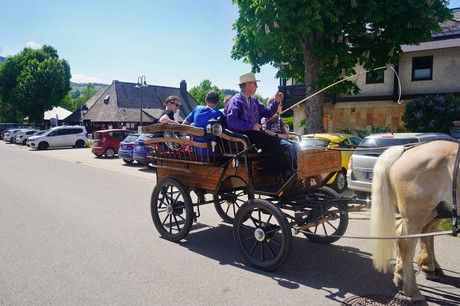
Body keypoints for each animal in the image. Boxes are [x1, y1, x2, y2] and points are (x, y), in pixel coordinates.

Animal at [370, 140, 460, 304]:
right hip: (417, 213)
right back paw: (413, 290)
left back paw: (402, 276)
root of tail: (404, 151)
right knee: (406, 244)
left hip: (431, 211)